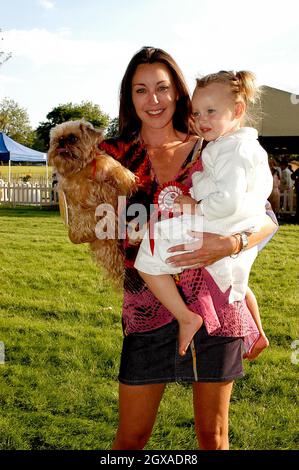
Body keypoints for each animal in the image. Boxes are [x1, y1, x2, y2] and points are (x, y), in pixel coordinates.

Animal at [48, 121, 137, 282]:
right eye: (57, 139)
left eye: (72, 138)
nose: (61, 141)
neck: (82, 168)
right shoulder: (73, 199)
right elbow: (83, 215)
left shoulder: (112, 170)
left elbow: (120, 177)